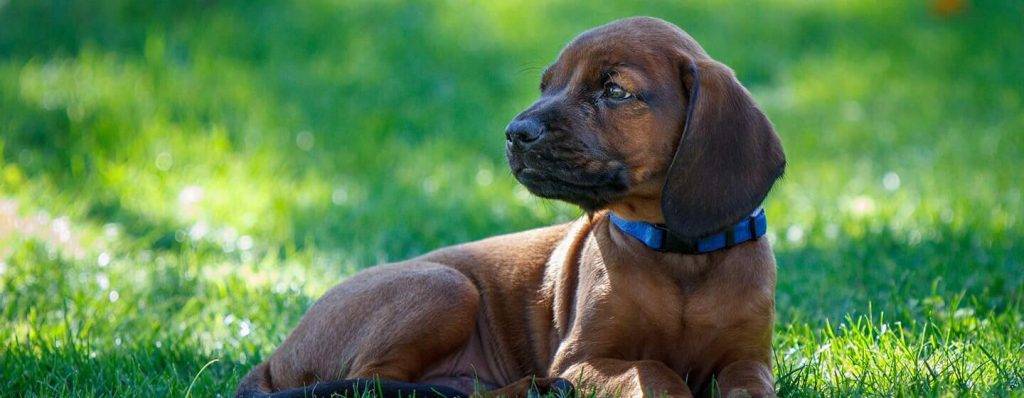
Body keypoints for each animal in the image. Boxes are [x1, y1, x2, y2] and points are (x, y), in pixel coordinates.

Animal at [237, 16, 782, 396]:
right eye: (547, 85)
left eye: (614, 90)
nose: (515, 133)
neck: (678, 254)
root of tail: (274, 355)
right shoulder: (580, 359)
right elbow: (653, 372)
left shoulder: (748, 359)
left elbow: (749, 386)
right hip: (445, 287)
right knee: (378, 384)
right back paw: (536, 388)